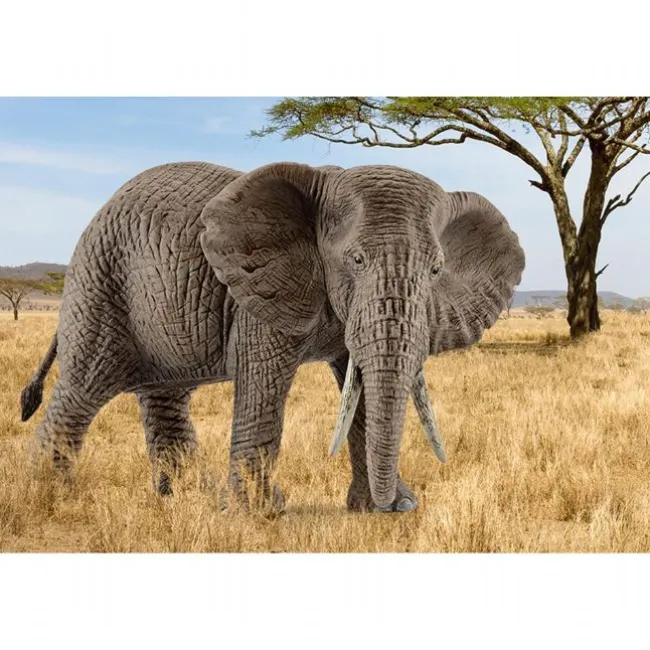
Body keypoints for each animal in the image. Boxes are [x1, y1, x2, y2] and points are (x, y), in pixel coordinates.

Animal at [20, 160, 525, 513]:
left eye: (436, 270)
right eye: (356, 260)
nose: (397, 505)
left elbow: (358, 385)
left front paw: (385, 508)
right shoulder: (258, 291)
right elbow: (264, 381)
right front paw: (259, 515)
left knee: (165, 397)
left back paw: (185, 499)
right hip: (101, 281)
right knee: (83, 388)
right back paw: (51, 498)